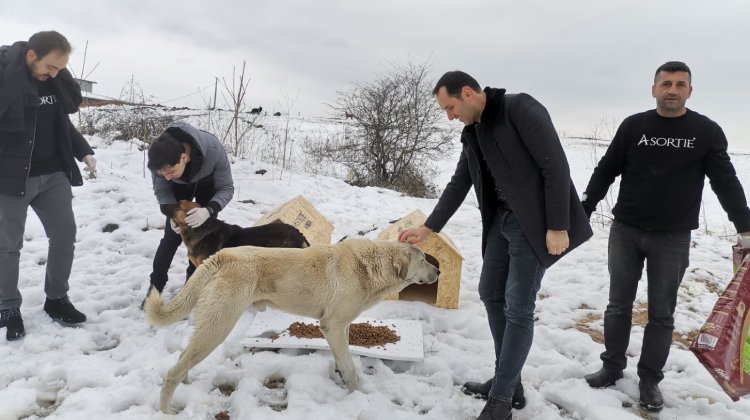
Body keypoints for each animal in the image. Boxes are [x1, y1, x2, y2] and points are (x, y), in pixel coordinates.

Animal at [144, 238, 440, 412]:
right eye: (424, 259)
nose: (439, 271)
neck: (369, 267)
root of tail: (223, 255)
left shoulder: (340, 328)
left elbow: (343, 361)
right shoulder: (332, 326)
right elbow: (350, 368)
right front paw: (357, 397)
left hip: (211, 327)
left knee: (183, 358)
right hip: (219, 326)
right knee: (173, 371)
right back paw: (166, 410)